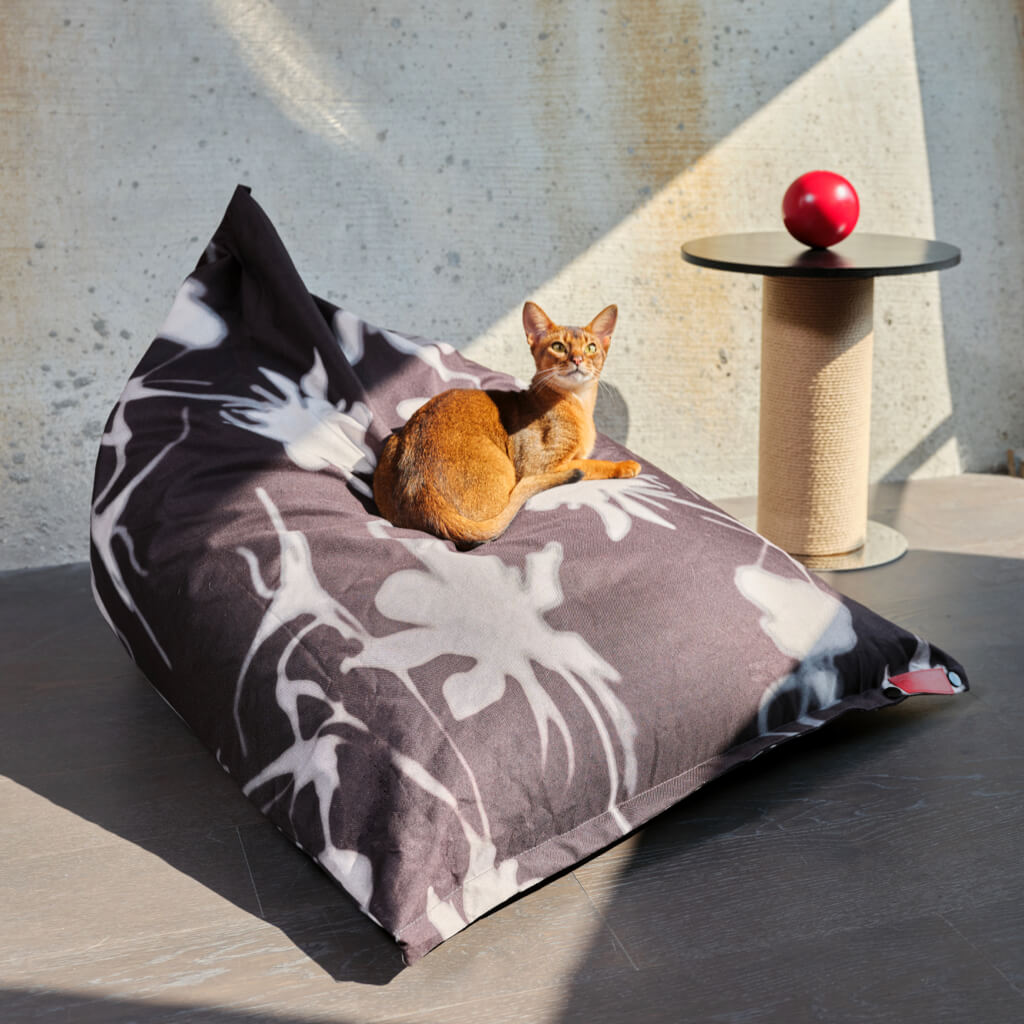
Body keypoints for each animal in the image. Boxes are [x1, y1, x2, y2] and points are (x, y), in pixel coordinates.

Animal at [372, 299, 634, 548]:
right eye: (558, 346)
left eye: (591, 348)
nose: (578, 359)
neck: (579, 403)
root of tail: (423, 492)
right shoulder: (539, 466)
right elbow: (591, 464)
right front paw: (625, 465)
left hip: (393, 443)